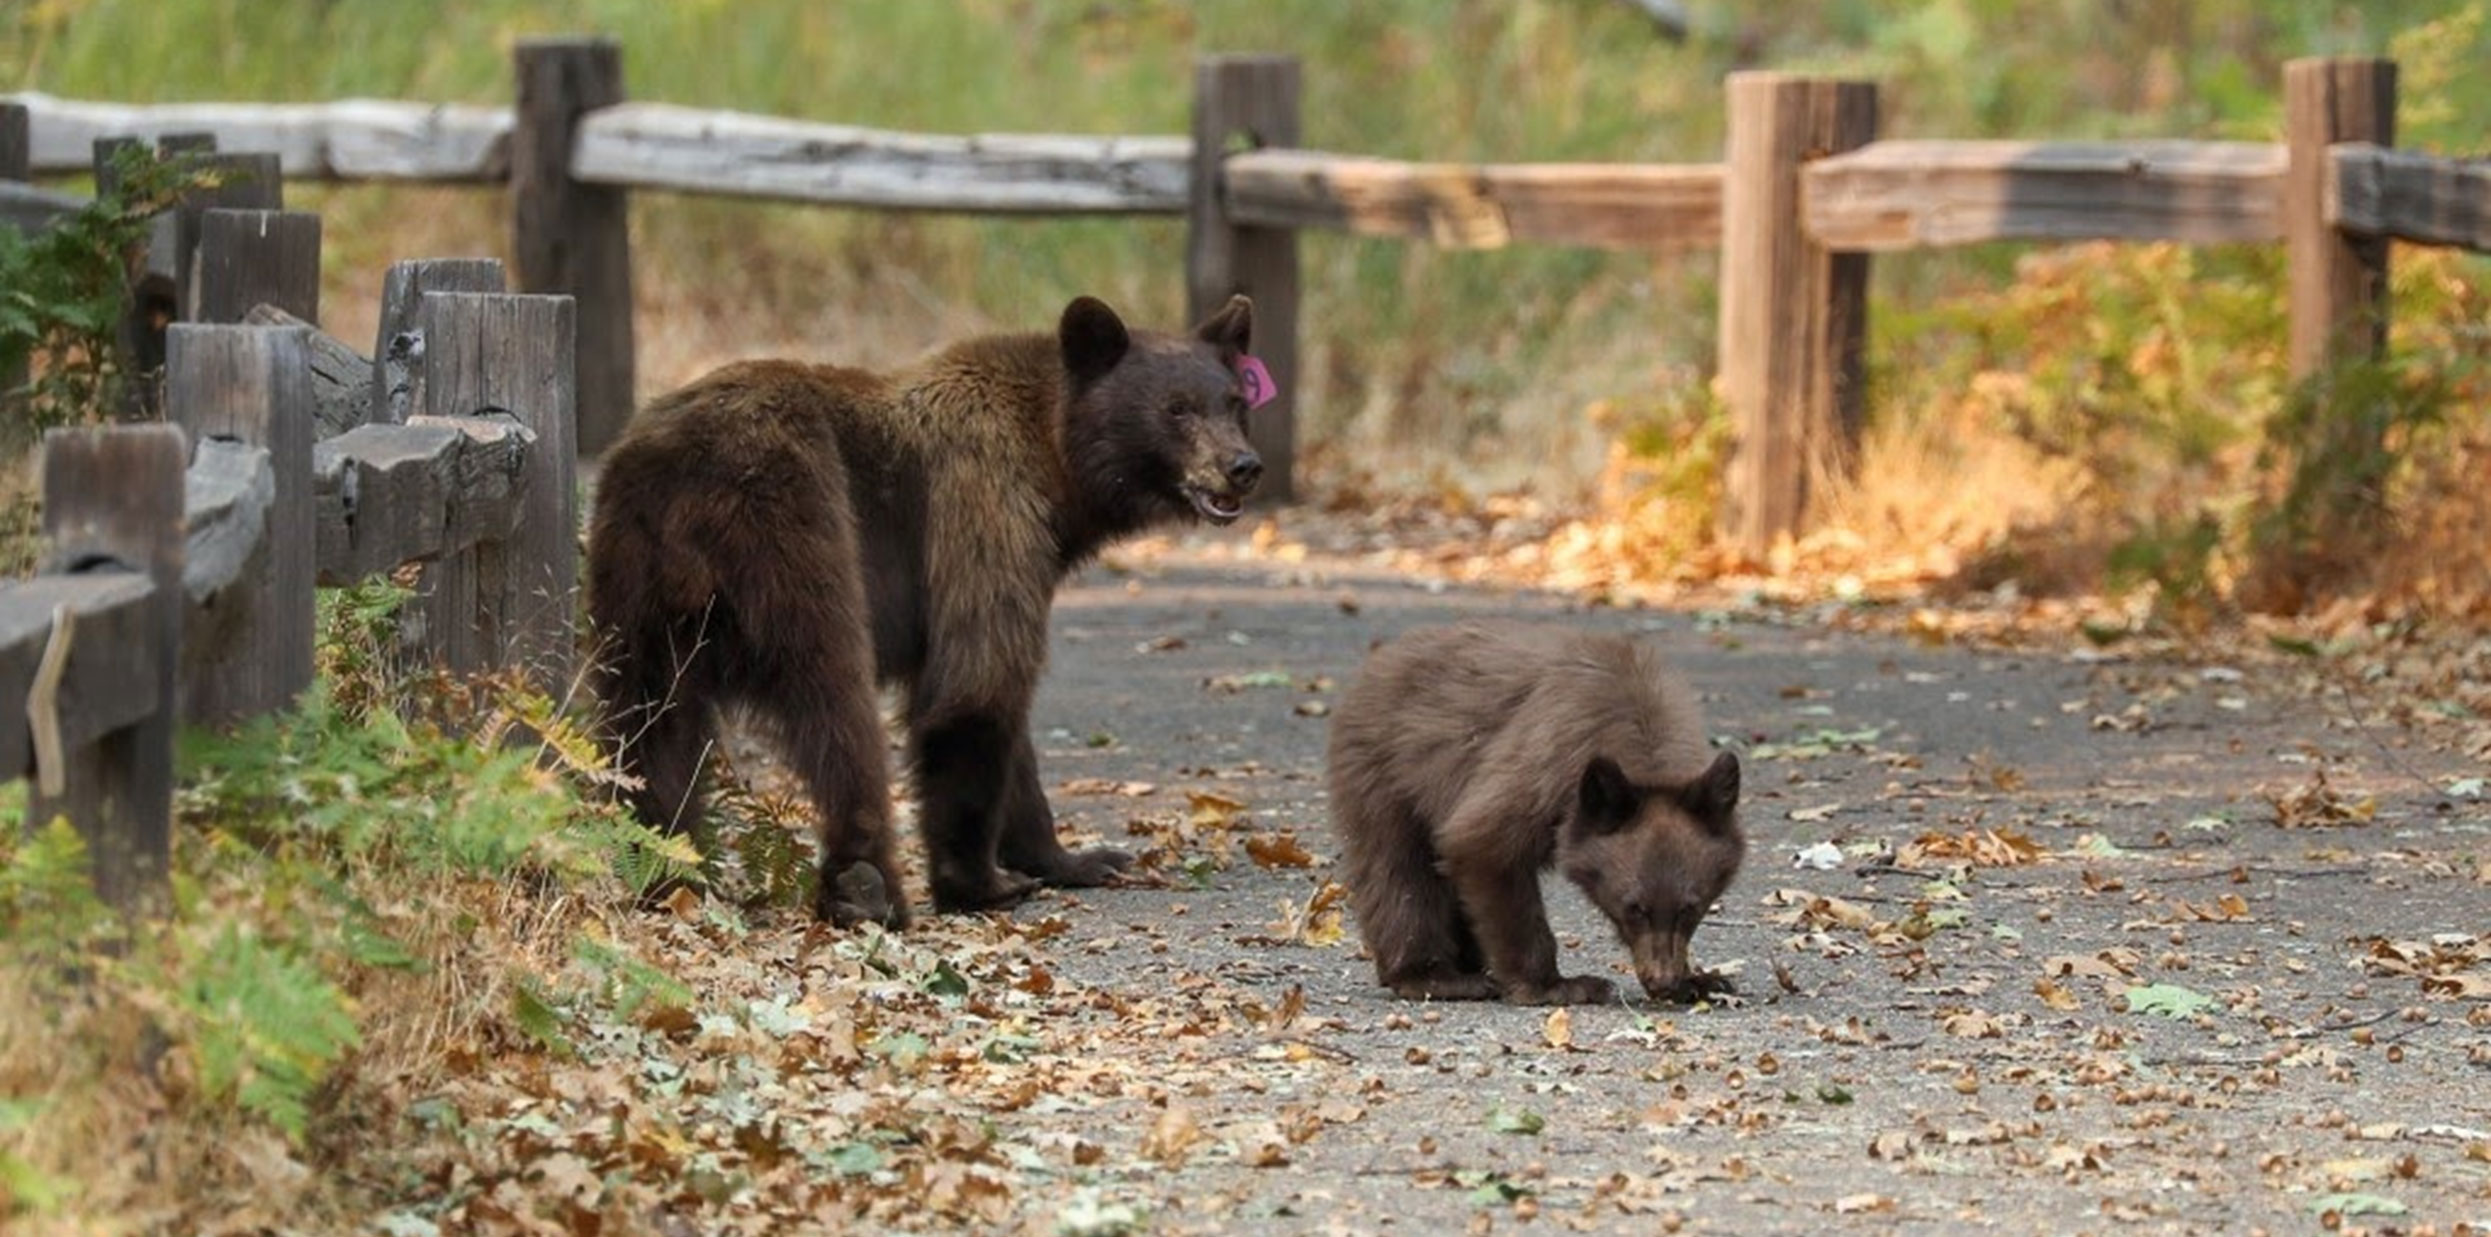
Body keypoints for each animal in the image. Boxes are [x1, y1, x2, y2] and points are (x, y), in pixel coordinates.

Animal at [587, 293, 1265, 920]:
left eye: (1235, 402)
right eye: (1176, 408)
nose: (1243, 466)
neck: (1055, 468)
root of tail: (685, 481)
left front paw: (1078, 858)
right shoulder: (984, 511)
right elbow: (976, 690)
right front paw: (981, 882)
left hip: (634, 586)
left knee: (649, 726)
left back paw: (662, 862)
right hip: (798, 528)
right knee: (836, 704)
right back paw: (867, 887)